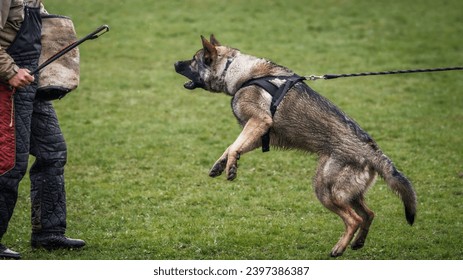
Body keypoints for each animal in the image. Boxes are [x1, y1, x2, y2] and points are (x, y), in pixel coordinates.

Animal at [175, 35, 420, 258]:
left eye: (194, 59)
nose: (175, 63)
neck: (234, 69)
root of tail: (374, 152)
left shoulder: (259, 122)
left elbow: (235, 146)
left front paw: (231, 167)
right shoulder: (259, 133)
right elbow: (231, 146)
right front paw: (222, 164)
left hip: (325, 190)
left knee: (355, 219)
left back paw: (338, 248)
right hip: (348, 194)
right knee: (369, 214)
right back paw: (357, 243)